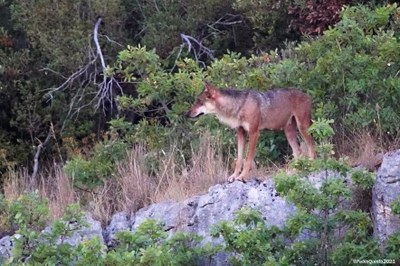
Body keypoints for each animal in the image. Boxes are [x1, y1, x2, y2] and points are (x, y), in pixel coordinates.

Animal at [187, 82, 316, 182]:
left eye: (199, 101)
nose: (186, 114)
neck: (240, 106)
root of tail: (307, 95)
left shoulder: (254, 133)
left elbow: (248, 160)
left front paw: (242, 177)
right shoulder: (240, 134)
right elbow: (239, 160)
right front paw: (234, 176)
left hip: (302, 128)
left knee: (311, 145)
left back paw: (311, 165)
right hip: (289, 132)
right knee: (298, 152)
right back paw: (294, 171)